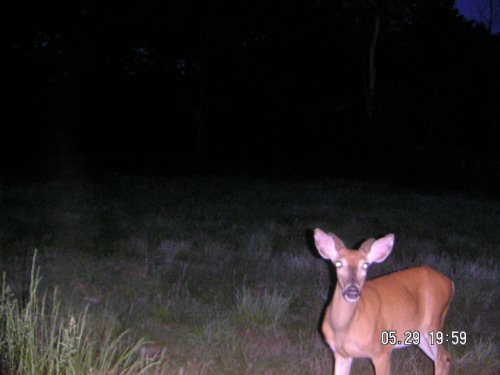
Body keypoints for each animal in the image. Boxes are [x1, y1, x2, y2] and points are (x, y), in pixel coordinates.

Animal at [314, 229, 456, 375]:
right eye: (338, 263)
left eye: (365, 265)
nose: (352, 291)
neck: (343, 330)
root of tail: (449, 282)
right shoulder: (341, 354)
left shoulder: (382, 351)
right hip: (419, 333)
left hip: (434, 323)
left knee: (442, 357)